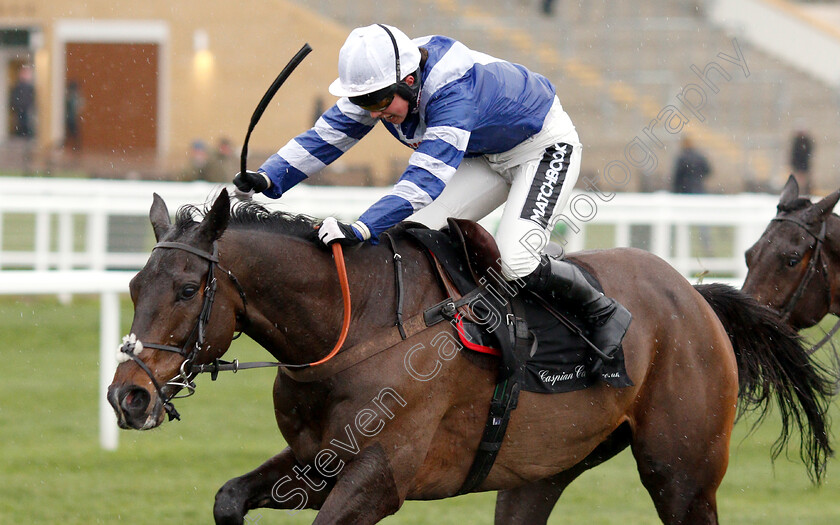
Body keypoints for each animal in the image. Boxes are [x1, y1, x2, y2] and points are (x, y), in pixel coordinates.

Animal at [106, 189, 832, 524]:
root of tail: (694, 296)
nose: (127, 395)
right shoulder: (315, 461)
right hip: (540, 471)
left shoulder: (381, 476)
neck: (358, 326)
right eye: (135, 286)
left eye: (185, 289)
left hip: (682, 474)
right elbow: (229, 497)